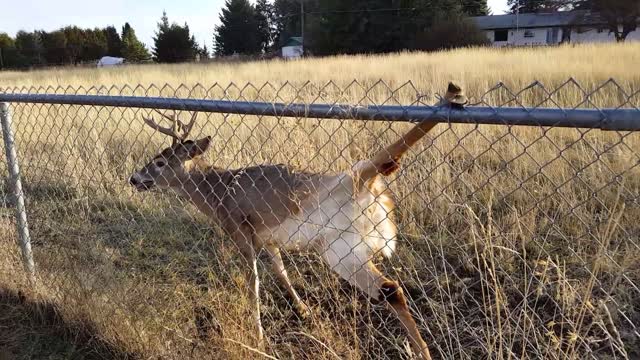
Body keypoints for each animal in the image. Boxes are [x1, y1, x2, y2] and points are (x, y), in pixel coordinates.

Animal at [129, 83, 470, 358]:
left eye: (159, 163)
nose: (134, 178)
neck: (217, 194)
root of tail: (365, 185)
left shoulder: (240, 230)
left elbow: (253, 282)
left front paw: (259, 336)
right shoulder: (268, 238)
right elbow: (281, 273)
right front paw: (304, 311)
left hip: (340, 240)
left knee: (390, 286)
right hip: (343, 245)